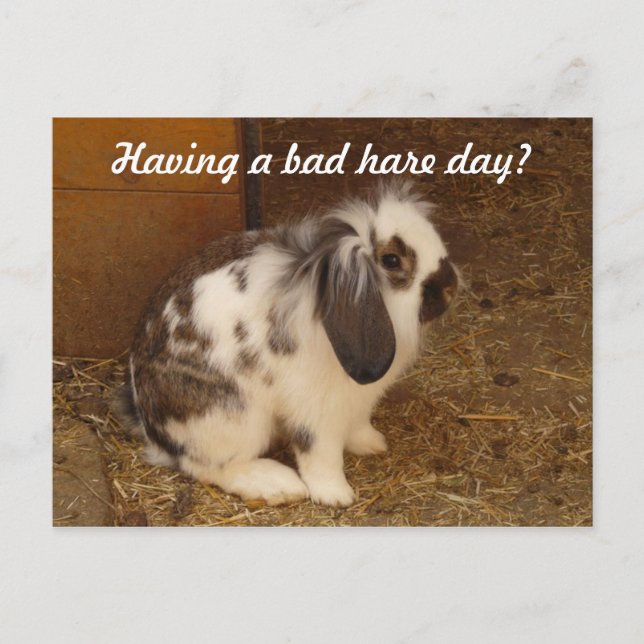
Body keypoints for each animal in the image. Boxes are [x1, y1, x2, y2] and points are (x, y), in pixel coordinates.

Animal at [115, 181, 458, 507]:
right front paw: (336, 495)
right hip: (234, 417)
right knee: (209, 467)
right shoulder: (316, 412)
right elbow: (321, 456)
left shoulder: (357, 400)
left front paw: (372, 443)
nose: (449, 287)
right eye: (391, 260)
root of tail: (150, 426)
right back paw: (277, 485)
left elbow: (358, 425)